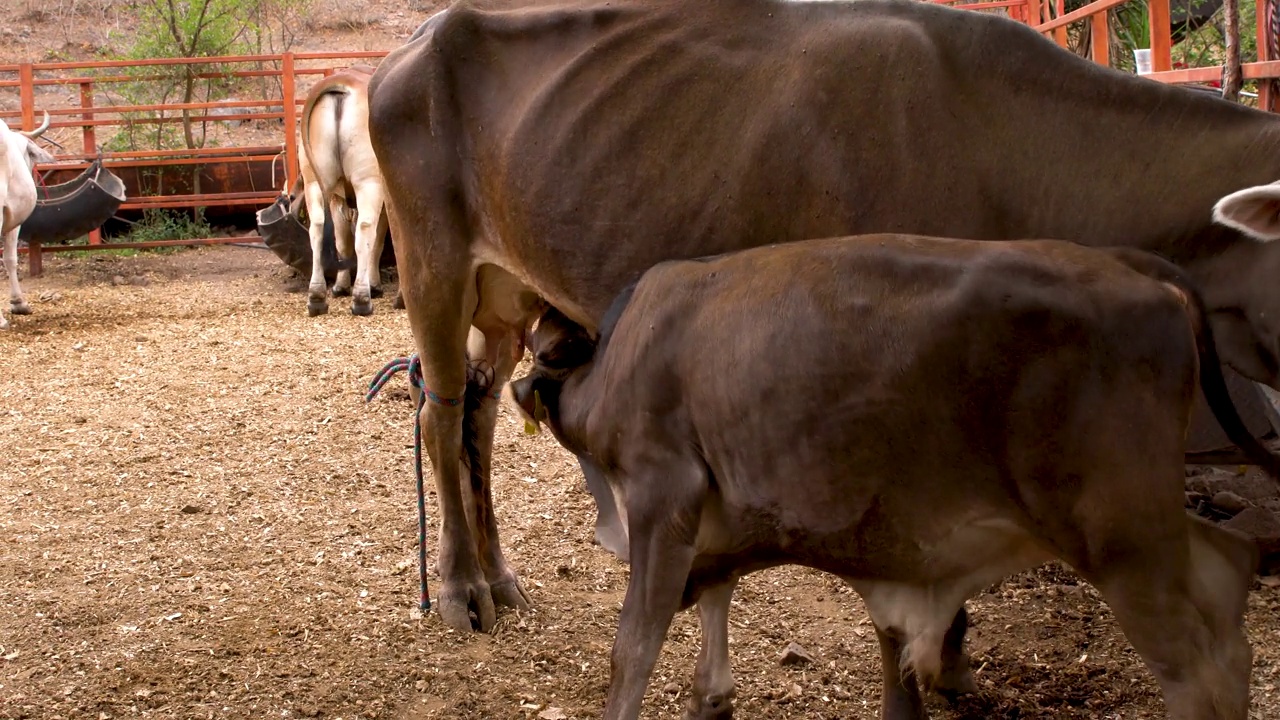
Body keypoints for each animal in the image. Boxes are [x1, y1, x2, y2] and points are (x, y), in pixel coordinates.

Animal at [368, 0, 1280, 635]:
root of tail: (410, 46)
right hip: (432, 258)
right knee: (436, 411)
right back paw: (460, 589)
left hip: (508, 286)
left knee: (479, 410)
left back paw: (499, 576)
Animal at [504, 234, 1274, 717]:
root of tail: (1137, 270)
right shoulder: (715, 531)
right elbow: (709, 680)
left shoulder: (663, 497)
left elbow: (632, 651)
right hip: (1142, 525)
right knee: (1228, 577)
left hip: (1118, 534)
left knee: (1193, 670)